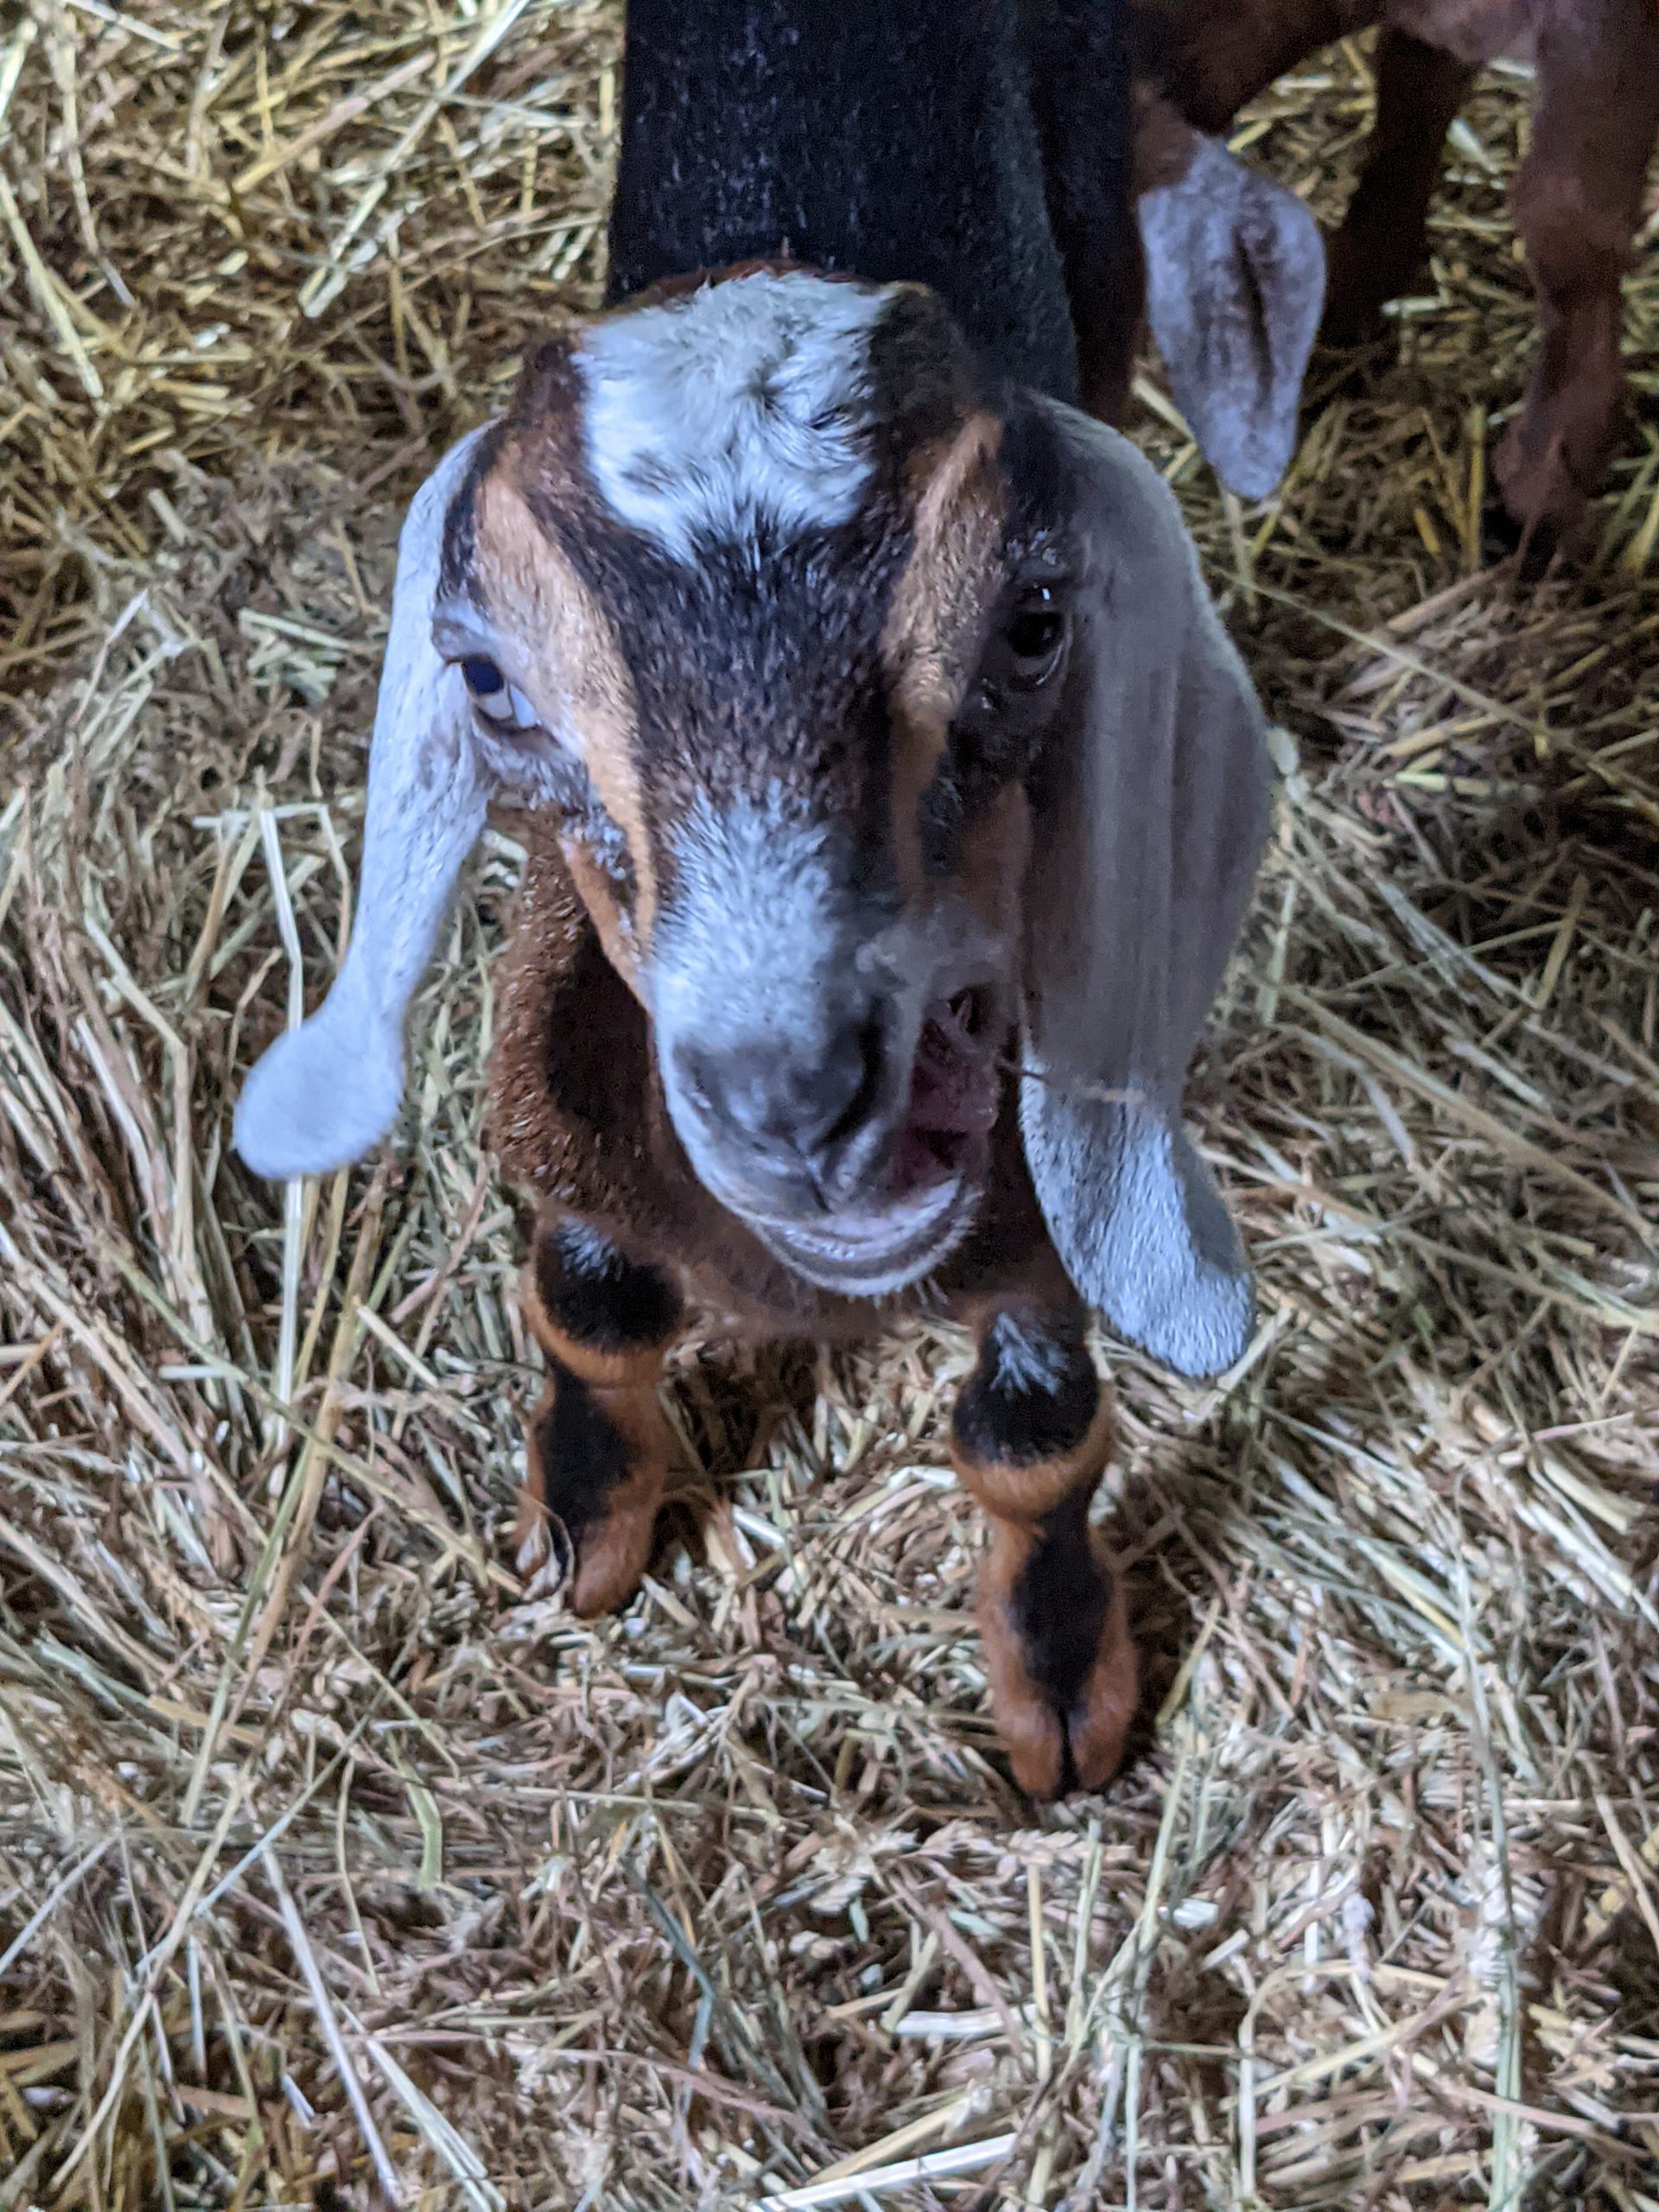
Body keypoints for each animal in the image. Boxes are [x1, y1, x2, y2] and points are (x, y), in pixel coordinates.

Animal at [236, 4, 1327, 1796]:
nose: (800, 1102)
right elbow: (589, 1301)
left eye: (1037, 621)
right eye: (488, 683)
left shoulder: (1039, 1244)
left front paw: (1062, 1689)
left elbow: (1036, 1436)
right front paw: (583, 1527)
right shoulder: (569, 1126)